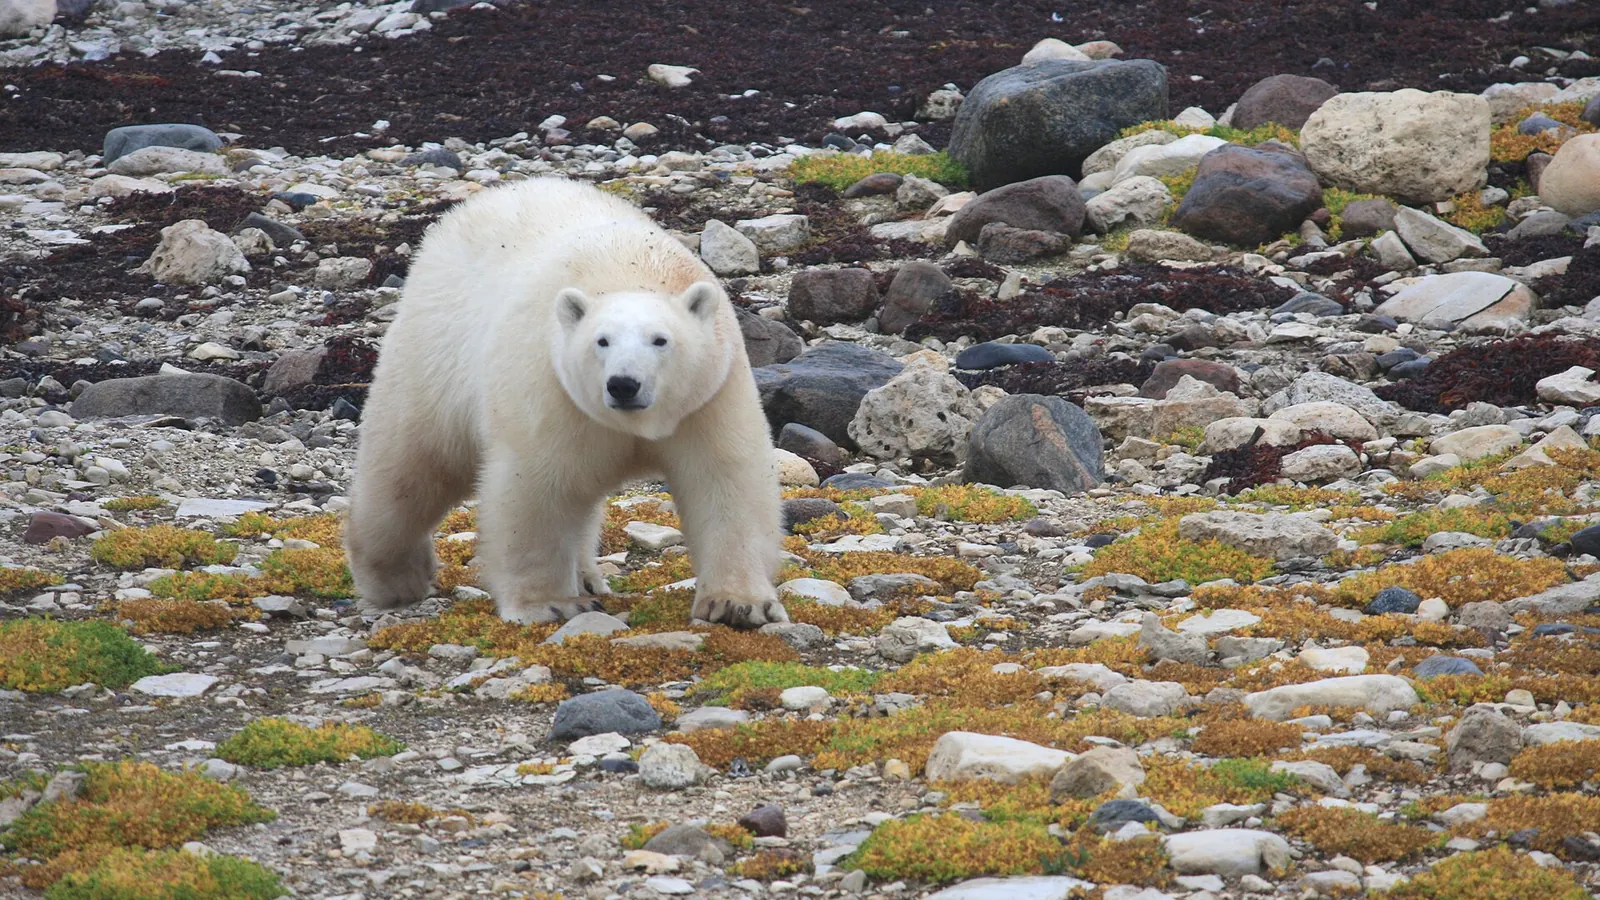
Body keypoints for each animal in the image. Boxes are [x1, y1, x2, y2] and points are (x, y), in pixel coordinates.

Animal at [345, 177, 788, 628]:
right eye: (602, 340)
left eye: (660, 339)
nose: (623, 385)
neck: (633, 268)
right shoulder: (551, 392)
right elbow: (538, 489)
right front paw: (550, 603)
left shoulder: (709, 397)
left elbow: (725, 482)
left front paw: (738, 603)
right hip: (435, 356)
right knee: (408, 469)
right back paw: (397, 579)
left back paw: (587, 576)